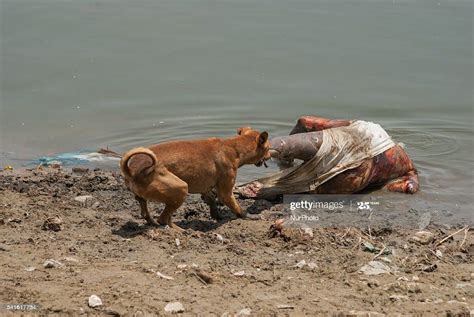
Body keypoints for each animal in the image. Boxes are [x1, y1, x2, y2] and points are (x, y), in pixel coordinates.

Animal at [119, 126, 270, 230]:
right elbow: (237, 207)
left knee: (146, 210)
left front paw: (216, 214)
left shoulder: (204, 187)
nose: (270, 155)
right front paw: (248, 216)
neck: (233, 147)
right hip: (180, 189)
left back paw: (153, 222)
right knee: (163, 219)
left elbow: (211, 199)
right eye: (268, 148)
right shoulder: (226, 193)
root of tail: (132, 171)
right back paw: (180, 230)